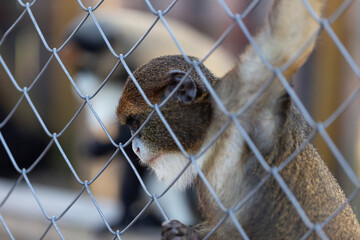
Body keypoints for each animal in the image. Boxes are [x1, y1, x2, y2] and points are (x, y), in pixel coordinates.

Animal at [116, 0, 360, 239]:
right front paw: (181, 233)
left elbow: (289, 32)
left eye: (136, 123)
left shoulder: (248, 101)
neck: (214, 135)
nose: (135, 148)